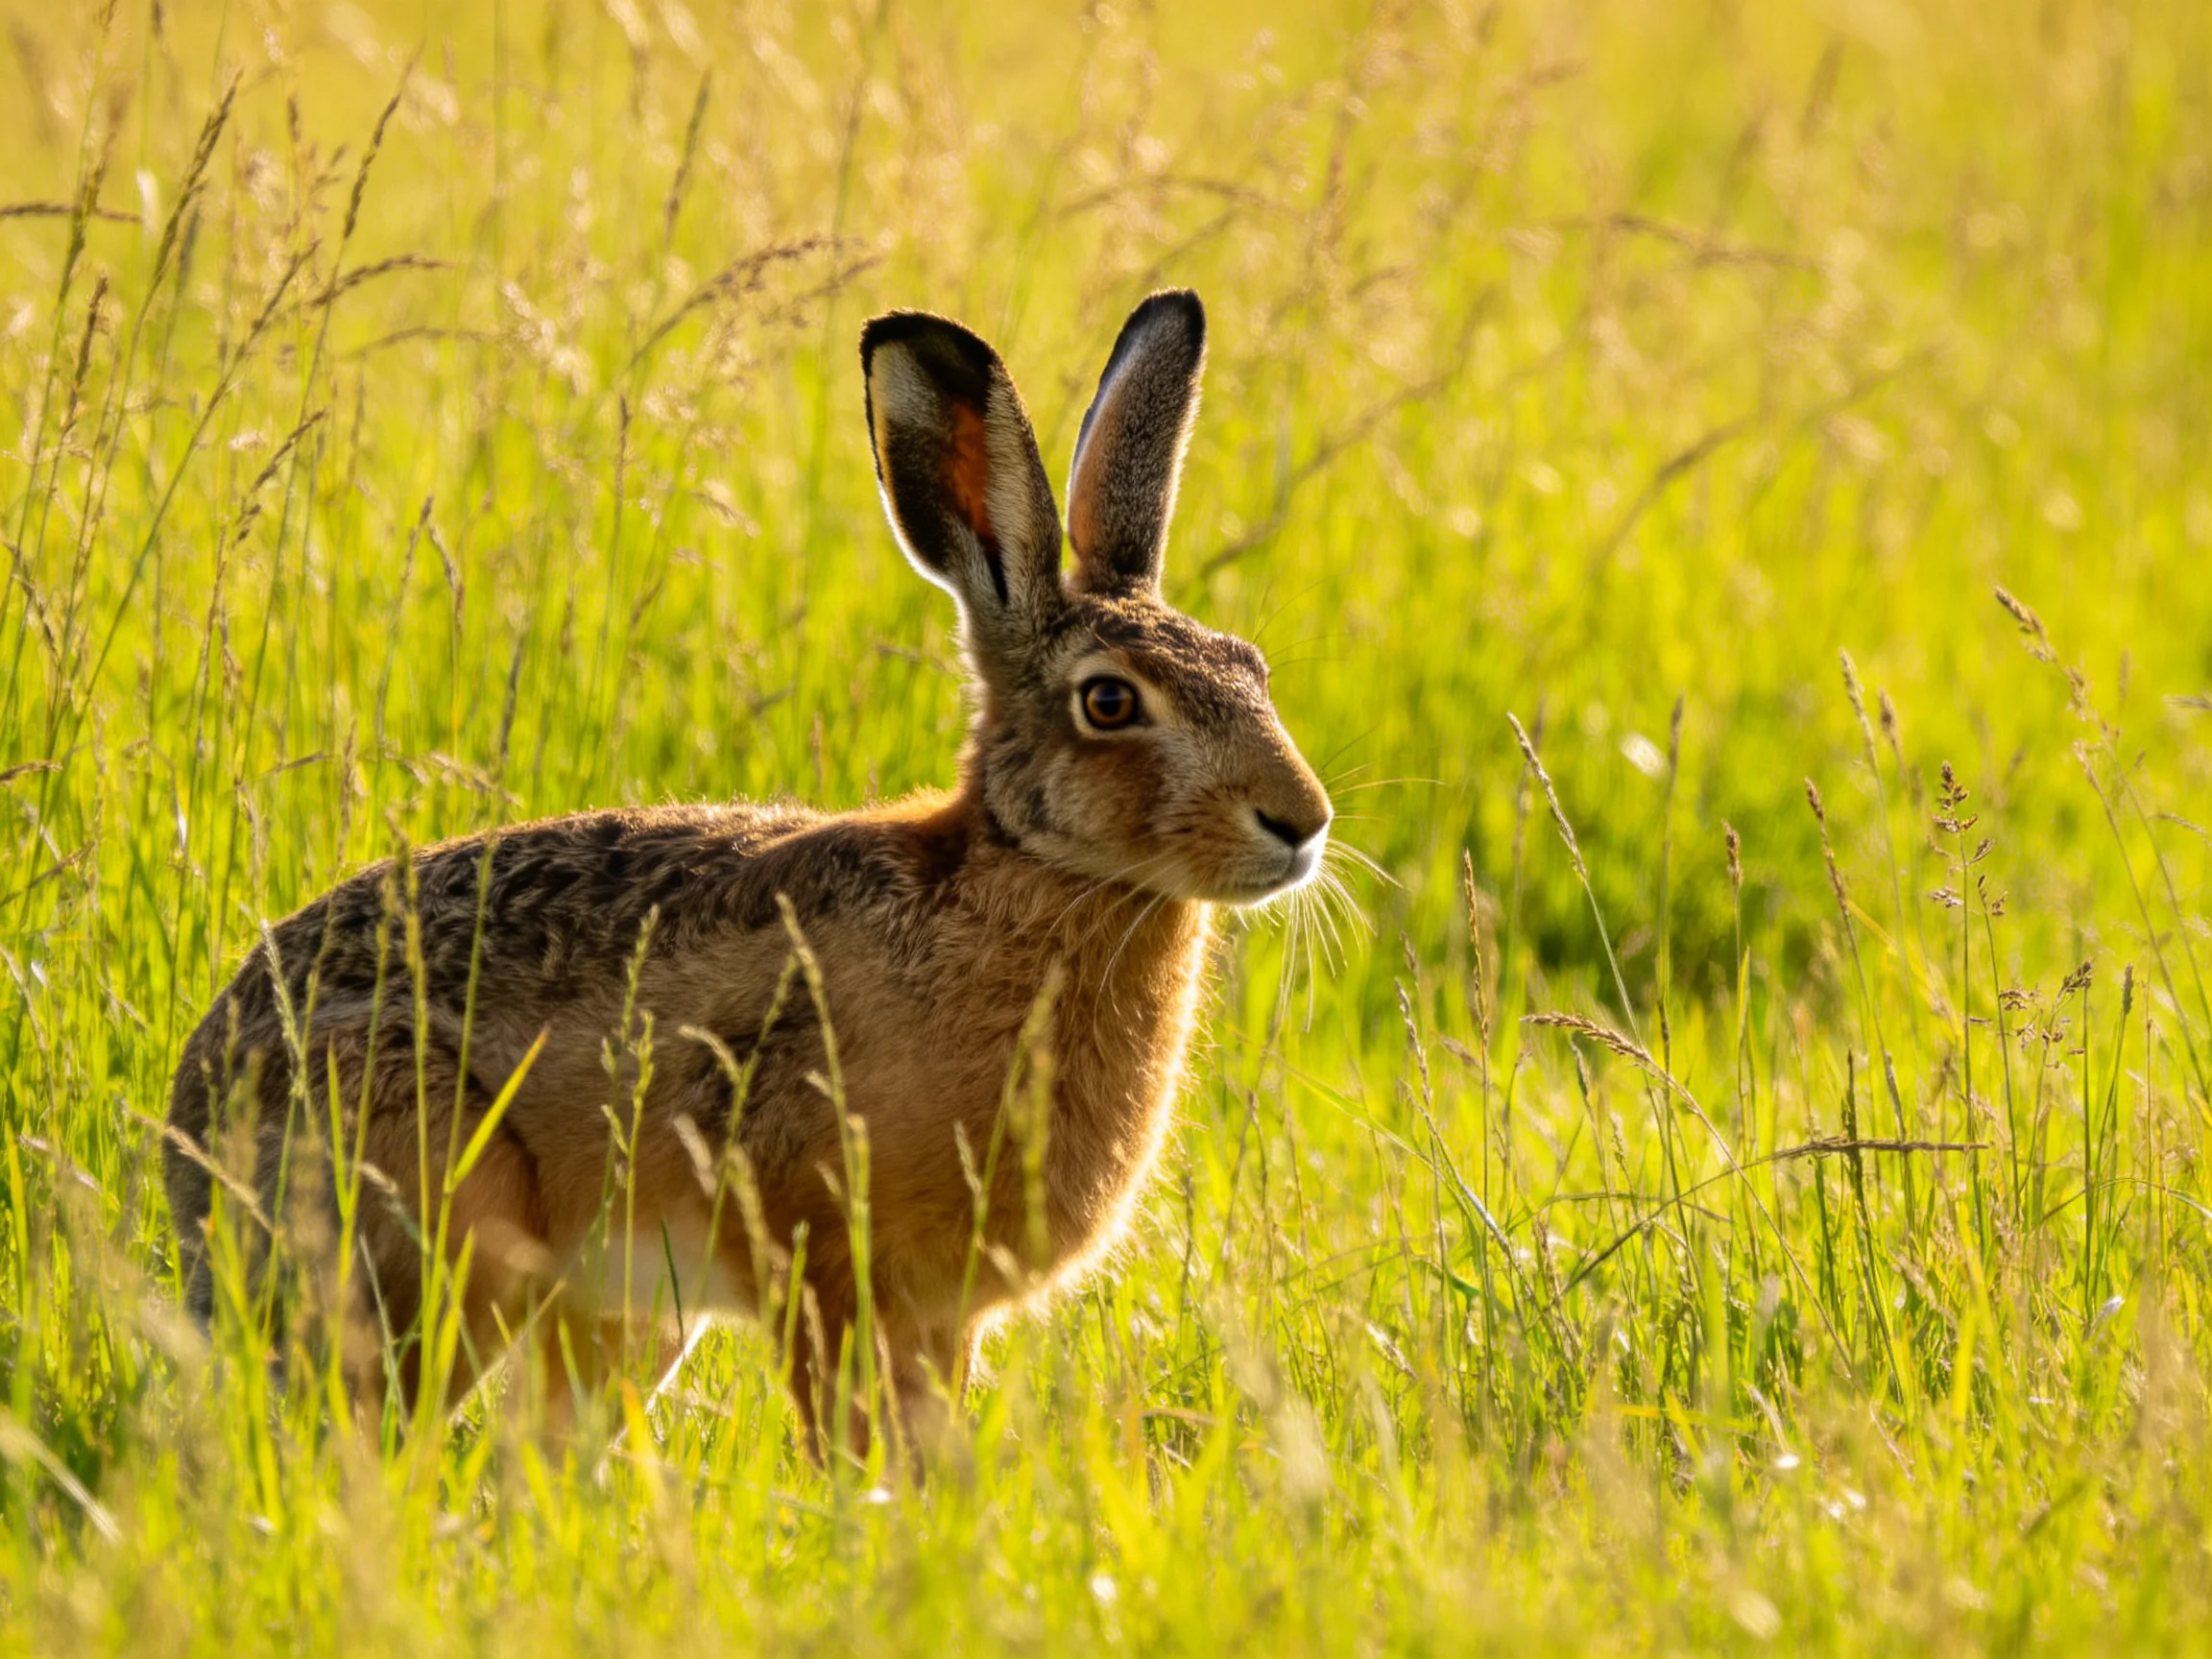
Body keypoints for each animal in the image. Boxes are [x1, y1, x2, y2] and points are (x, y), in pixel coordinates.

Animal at [164, 289, 1333, 1456]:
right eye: (1109, 702)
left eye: (1254, 669)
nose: (1303, 822)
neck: (1025, 874)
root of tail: (186, 1159)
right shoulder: (827, 1257)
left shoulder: (939, 1314)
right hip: (438, 1216)